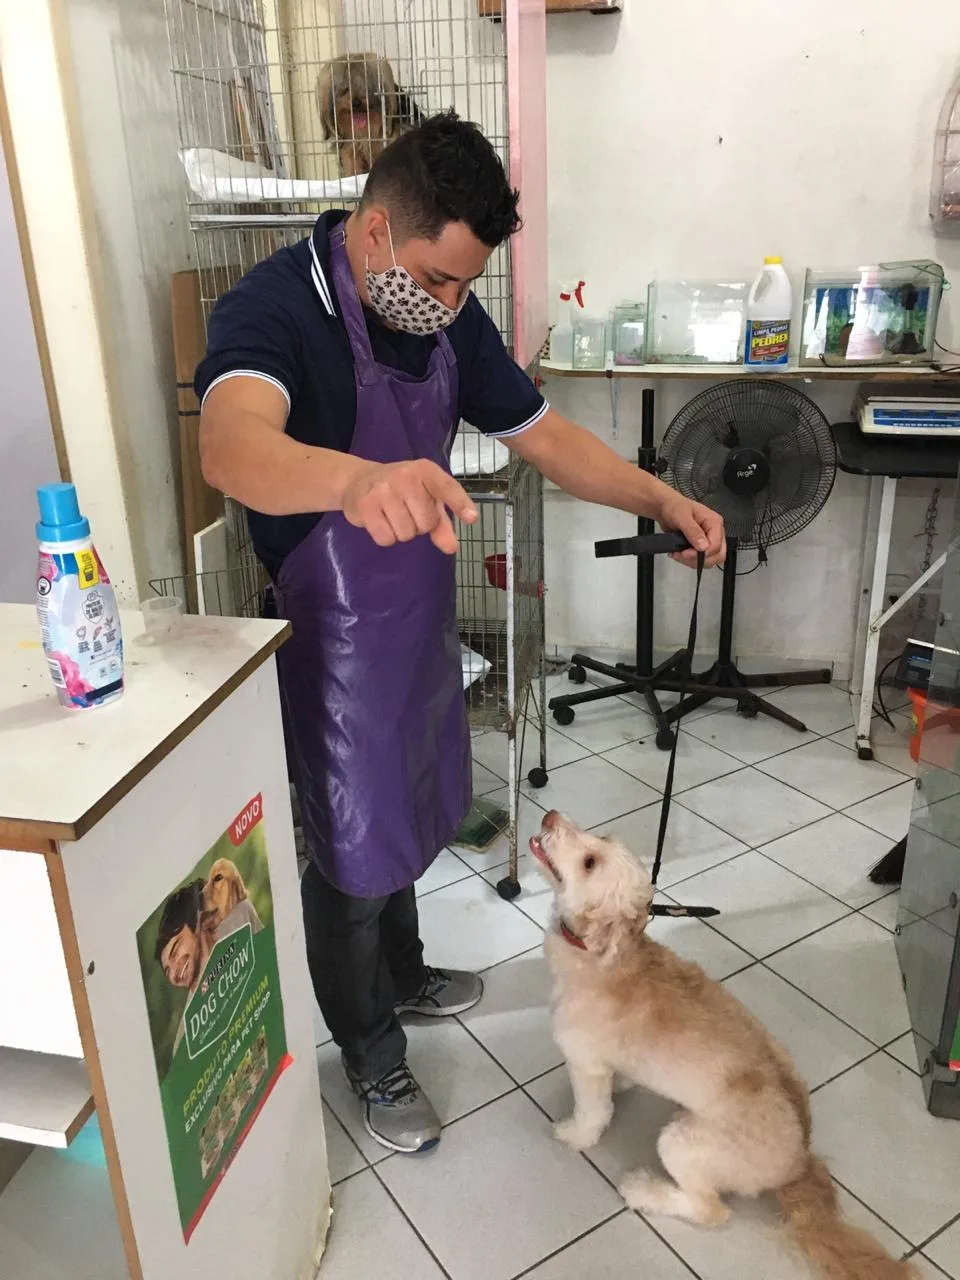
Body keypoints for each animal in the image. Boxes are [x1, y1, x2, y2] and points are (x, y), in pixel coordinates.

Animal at [535, 808, 916, 1280]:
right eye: (600, 838)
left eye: (590, 862)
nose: (550, 815)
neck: (602, 955)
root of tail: (799, 1163)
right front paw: (623, 1084)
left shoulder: (585, 1064)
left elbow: (593, 1113)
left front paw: (574, 1134)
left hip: (682, 1142)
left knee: (711, 1210)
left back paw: (645, 1190)